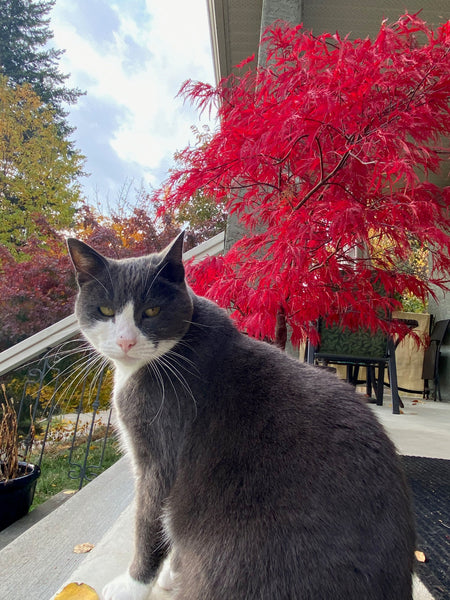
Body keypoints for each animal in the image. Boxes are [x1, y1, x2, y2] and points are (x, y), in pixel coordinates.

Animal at [67, 233, 414, 600]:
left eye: (152, 311)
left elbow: (148, 524)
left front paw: (132, 585)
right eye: (106, 310)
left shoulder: (159, 454)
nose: (126, 341)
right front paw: (172, 573)